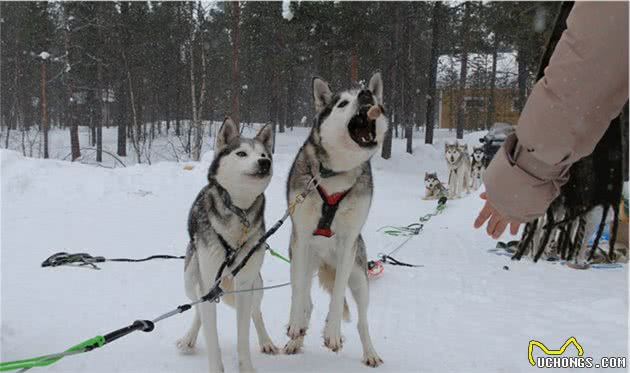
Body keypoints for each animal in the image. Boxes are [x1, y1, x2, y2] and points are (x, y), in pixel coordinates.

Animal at [177, 118, 278, 372]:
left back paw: (266, 341)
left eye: (264, 154)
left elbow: (243, 335)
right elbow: (211, 335)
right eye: (241, 153)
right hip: (191, 276)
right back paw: (189, 337)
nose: (264, 162)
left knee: (256, 312)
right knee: (199, 310)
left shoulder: (244, 283)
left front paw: (247, 368)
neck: (239, 210)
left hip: (256, 283)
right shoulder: (207, 280)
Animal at [284, 72, 388, 366]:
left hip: (360, 277)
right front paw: (295, 325)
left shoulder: (347, 243)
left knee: (361, 319)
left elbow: (338, 294)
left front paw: (332, 333)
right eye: (342, 103)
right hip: (302, 261)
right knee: (305, 298)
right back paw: (296, 336)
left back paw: (369, 352)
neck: (334, 174)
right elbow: (299, 295)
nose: (366, 94)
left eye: (371, 96)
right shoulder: (301, 238)